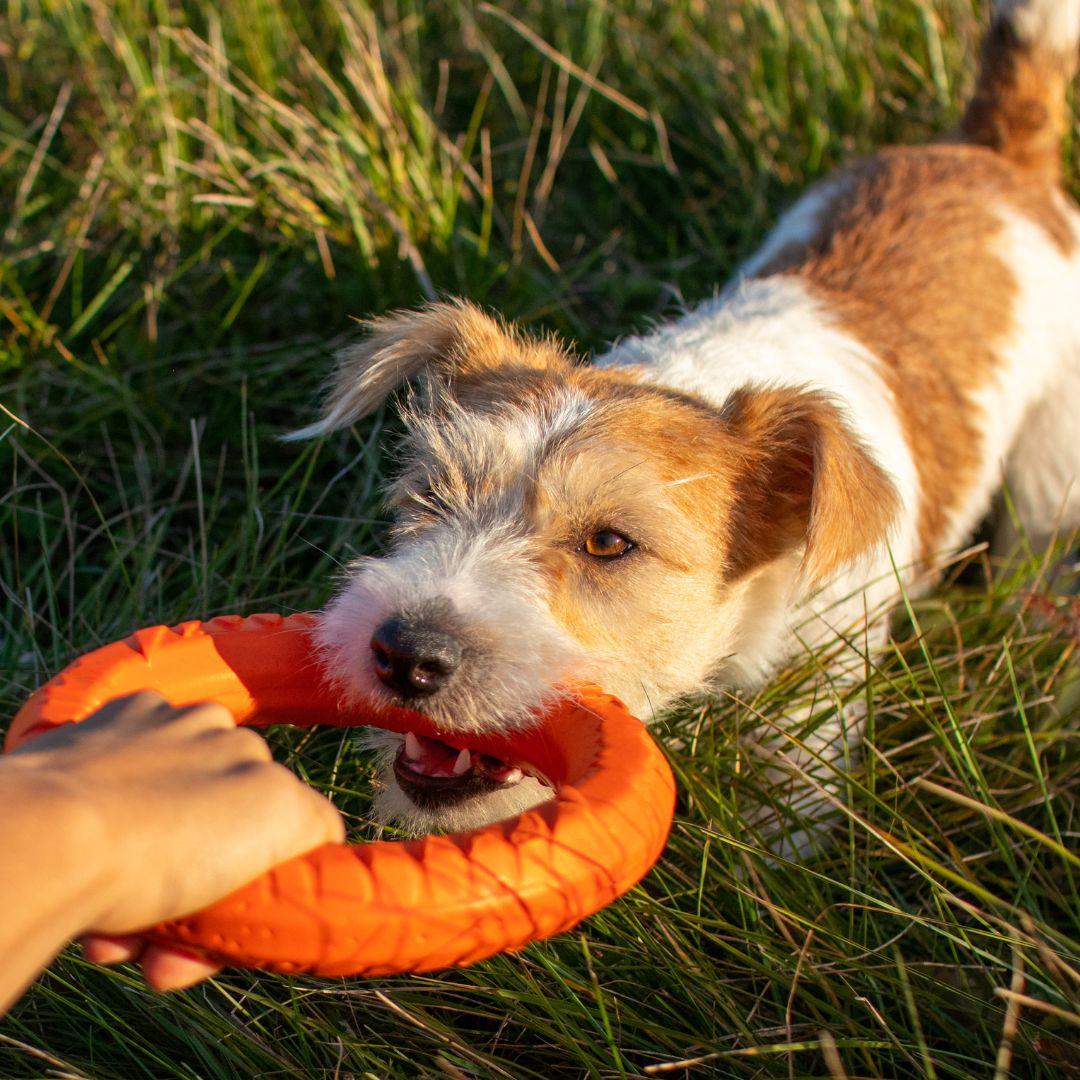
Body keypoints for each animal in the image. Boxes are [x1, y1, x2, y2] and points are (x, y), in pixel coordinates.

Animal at [287, 0, 1080, 842]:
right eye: (430, 496)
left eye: (611, 543)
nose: (405, 654)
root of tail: (994, 152)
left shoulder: (816, 686)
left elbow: (788, 804)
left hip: (1050, 479)